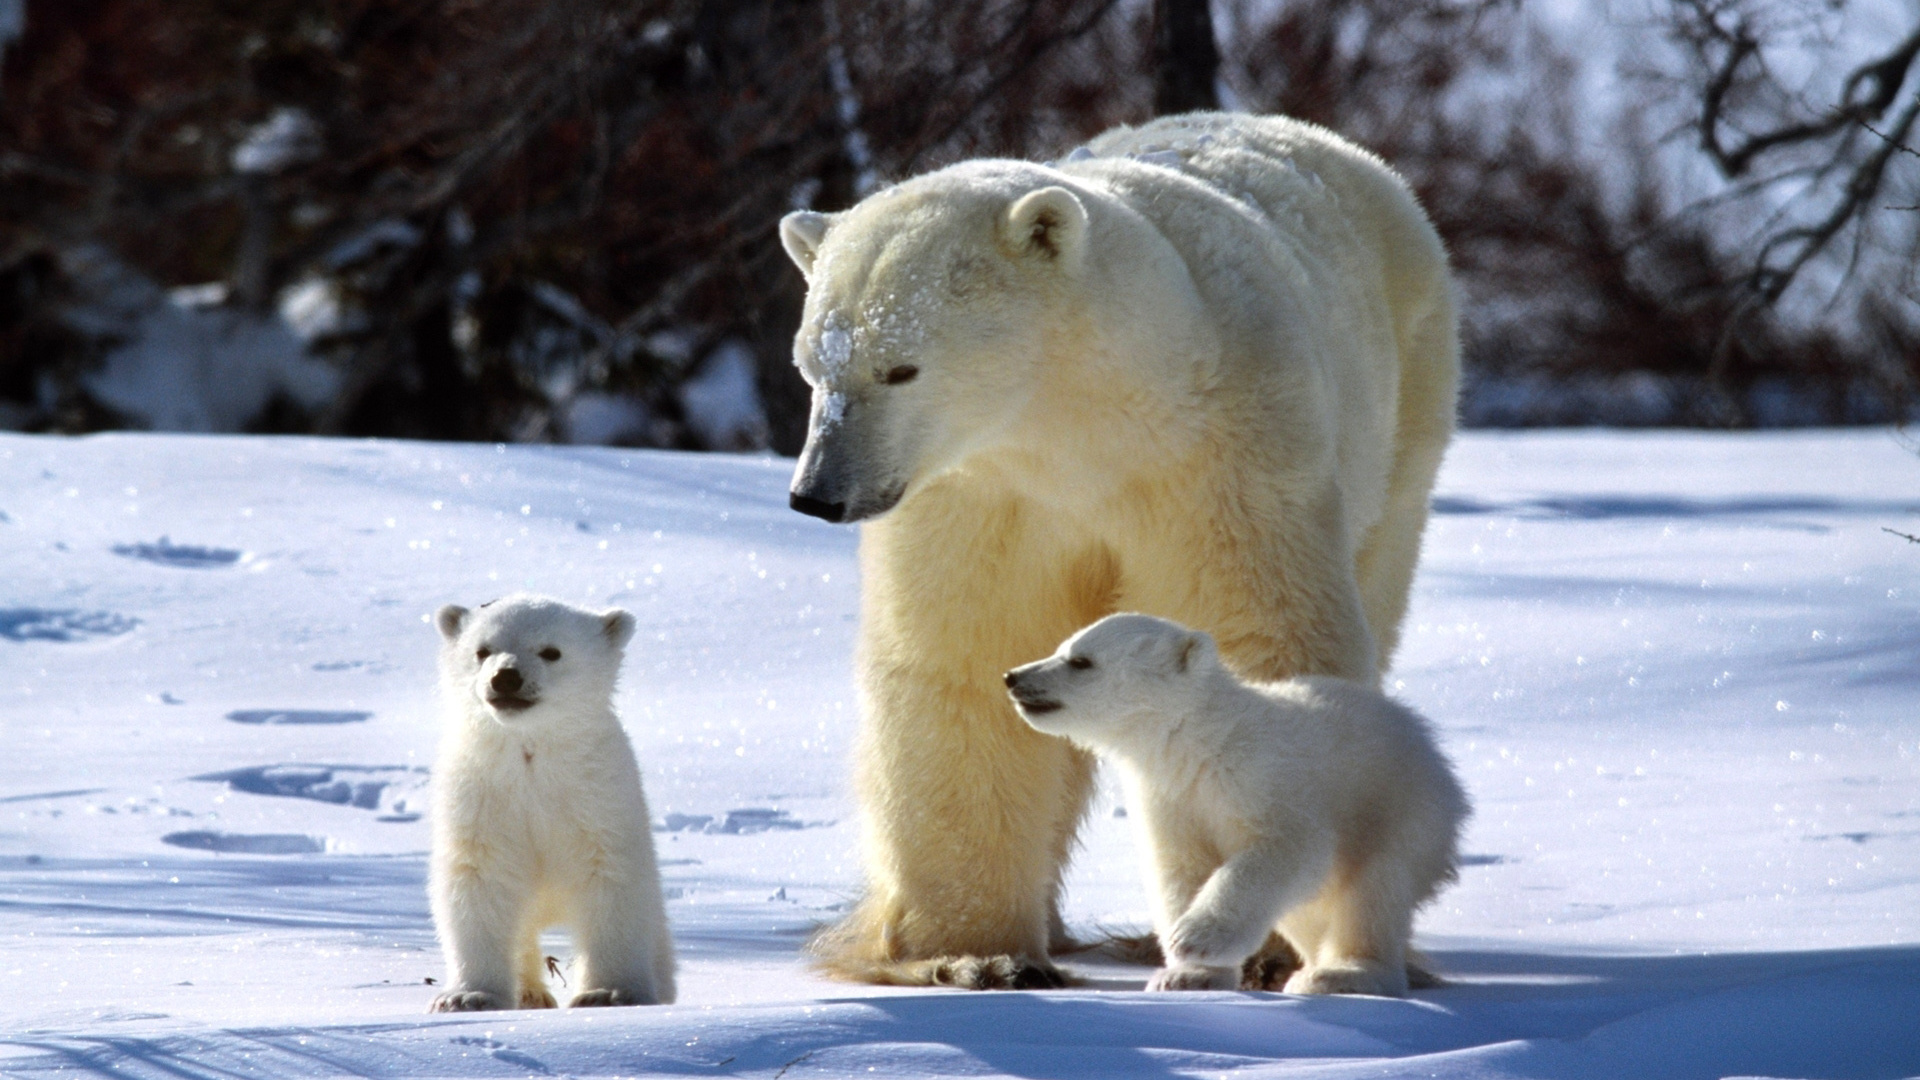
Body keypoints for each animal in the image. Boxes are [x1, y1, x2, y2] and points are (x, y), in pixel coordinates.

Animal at [779, 111, 1451, 983]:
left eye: (900, 368)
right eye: (811, 366)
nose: (818, 494)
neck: (1085, 425)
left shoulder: (1217, 457)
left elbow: (1255, 628)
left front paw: (1262, 950)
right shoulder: (983, 494)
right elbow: (963, 657)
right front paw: (975, 955)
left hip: (1407, 409)